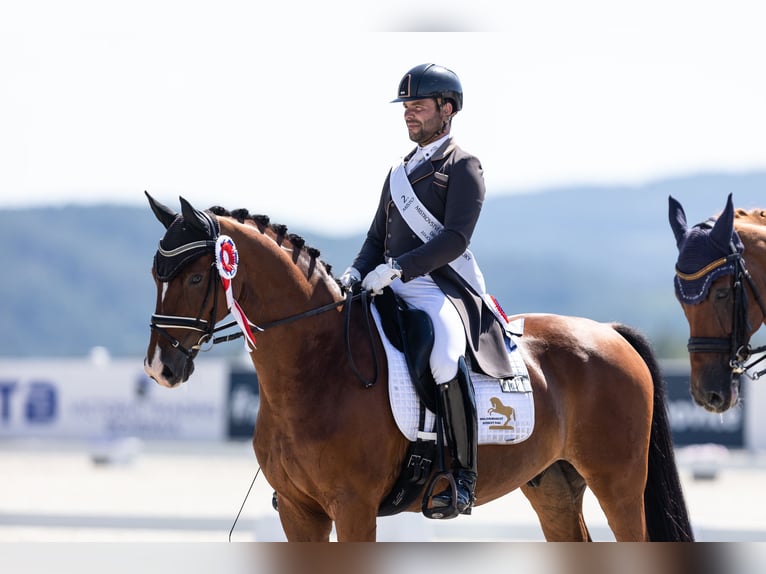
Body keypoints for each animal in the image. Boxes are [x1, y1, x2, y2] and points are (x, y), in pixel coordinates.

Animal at [144, 195, 696, 544]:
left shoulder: (354, 508)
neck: (316, 366)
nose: (158, 368)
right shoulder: (301, 513)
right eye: (156, 275)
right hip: (554, 485)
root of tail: (609, 332)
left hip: (618, 482)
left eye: (195, 278)